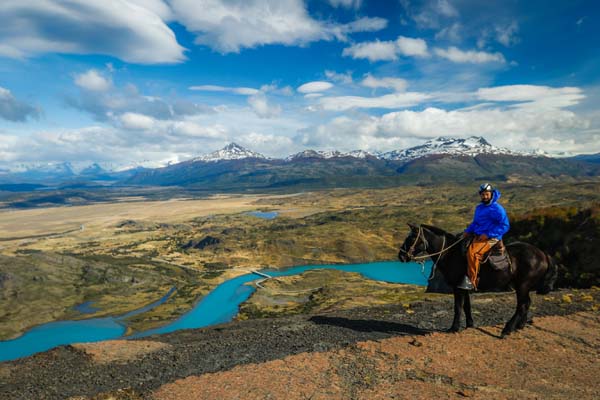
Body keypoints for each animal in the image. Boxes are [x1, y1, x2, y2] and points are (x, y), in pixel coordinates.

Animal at [398, 223, 556, 336]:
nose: (401, 256)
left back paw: (507, 329)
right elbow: (467, 306)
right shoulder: (464, 286)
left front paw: (454, 328)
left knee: (522, 305)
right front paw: (469, 325)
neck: (450, 253)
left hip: (522, 285)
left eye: (411, 238)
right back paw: (520, 326)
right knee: (527, 303)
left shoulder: (457, 287)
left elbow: (458, 307)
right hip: (524, 286)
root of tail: (543, 254)